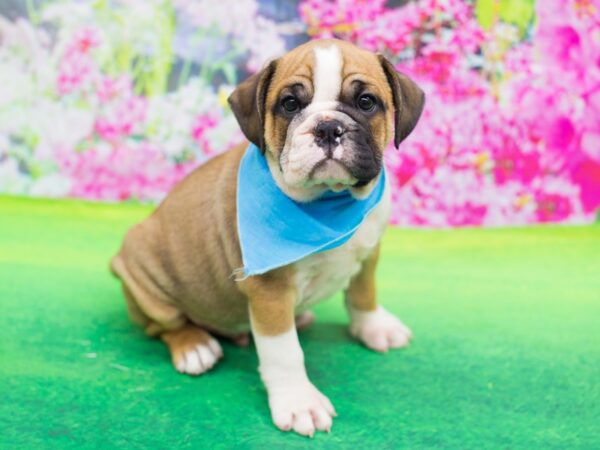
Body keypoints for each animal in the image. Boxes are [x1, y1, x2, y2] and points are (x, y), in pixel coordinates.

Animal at [111, 38, 422, 436]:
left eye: (366, 102)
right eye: (290, 104)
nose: (327, 128)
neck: (331, 201)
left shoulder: (369, 252)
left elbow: (363, 293)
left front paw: (374, 326)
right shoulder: (270, 292)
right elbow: (284, 352)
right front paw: (299, 401)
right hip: (143, 275)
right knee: (163, 325)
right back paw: (194, 346)